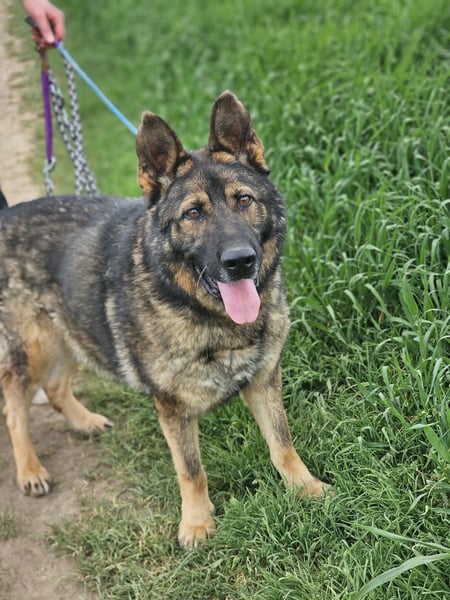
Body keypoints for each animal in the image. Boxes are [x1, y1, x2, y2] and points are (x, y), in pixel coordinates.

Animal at [0, 91, 325, 546]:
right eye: (193, 214)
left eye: (244, 200)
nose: (240, 261)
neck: (203, 312)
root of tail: (5, 215)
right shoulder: (172, 409)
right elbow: (191, 470)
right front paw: (197, 523)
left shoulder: (263, 382)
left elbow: (282, 443)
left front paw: (306, 488)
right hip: (34, 349)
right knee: (16, 409)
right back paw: (30, 470)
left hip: (71, 334)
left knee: (56, 387)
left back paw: (85, 422)